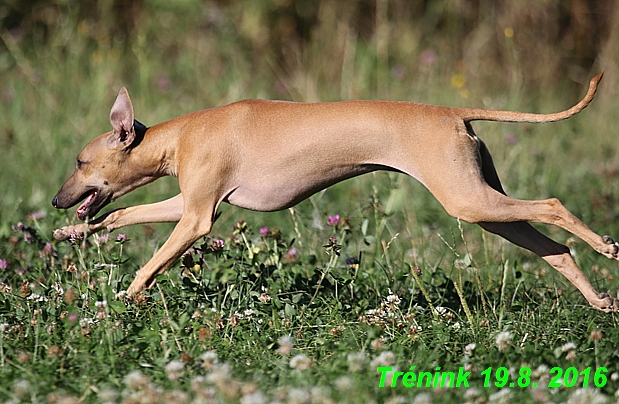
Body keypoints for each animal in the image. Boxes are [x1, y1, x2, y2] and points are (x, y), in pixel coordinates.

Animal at [50, 74, 616, 310]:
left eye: (79, 162)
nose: (56, 200)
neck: (183, 134)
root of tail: (453, 112)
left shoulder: (197, 219)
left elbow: (150, 264)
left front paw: (127, 296)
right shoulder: (187, 205)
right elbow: (121, 215)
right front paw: (74, 232)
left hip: (470, 201)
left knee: (554, 205)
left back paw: (607, 246)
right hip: (487, 207)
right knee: (555, 249)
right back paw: (600, 301)